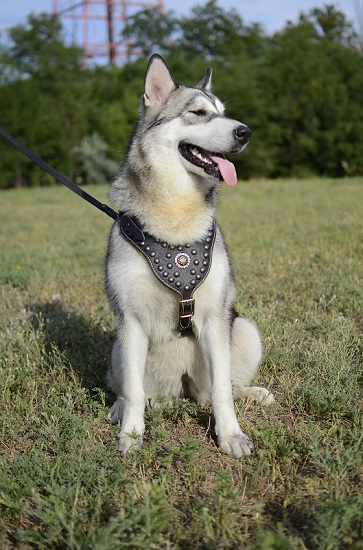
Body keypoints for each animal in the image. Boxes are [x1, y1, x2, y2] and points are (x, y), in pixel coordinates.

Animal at [106, 55, 274, 462]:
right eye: (198, 113)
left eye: (224, 113)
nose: (245, 132)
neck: (175, 214)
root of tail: (179, 389)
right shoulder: (130, 321)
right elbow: (133, 389)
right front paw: (131, 435)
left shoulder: (214, 318)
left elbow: (222, 391)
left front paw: (231, 435)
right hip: (118, 345)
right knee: (128, 388)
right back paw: (119, 408)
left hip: (243, 329)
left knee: (217, 389)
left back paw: (253, 393)